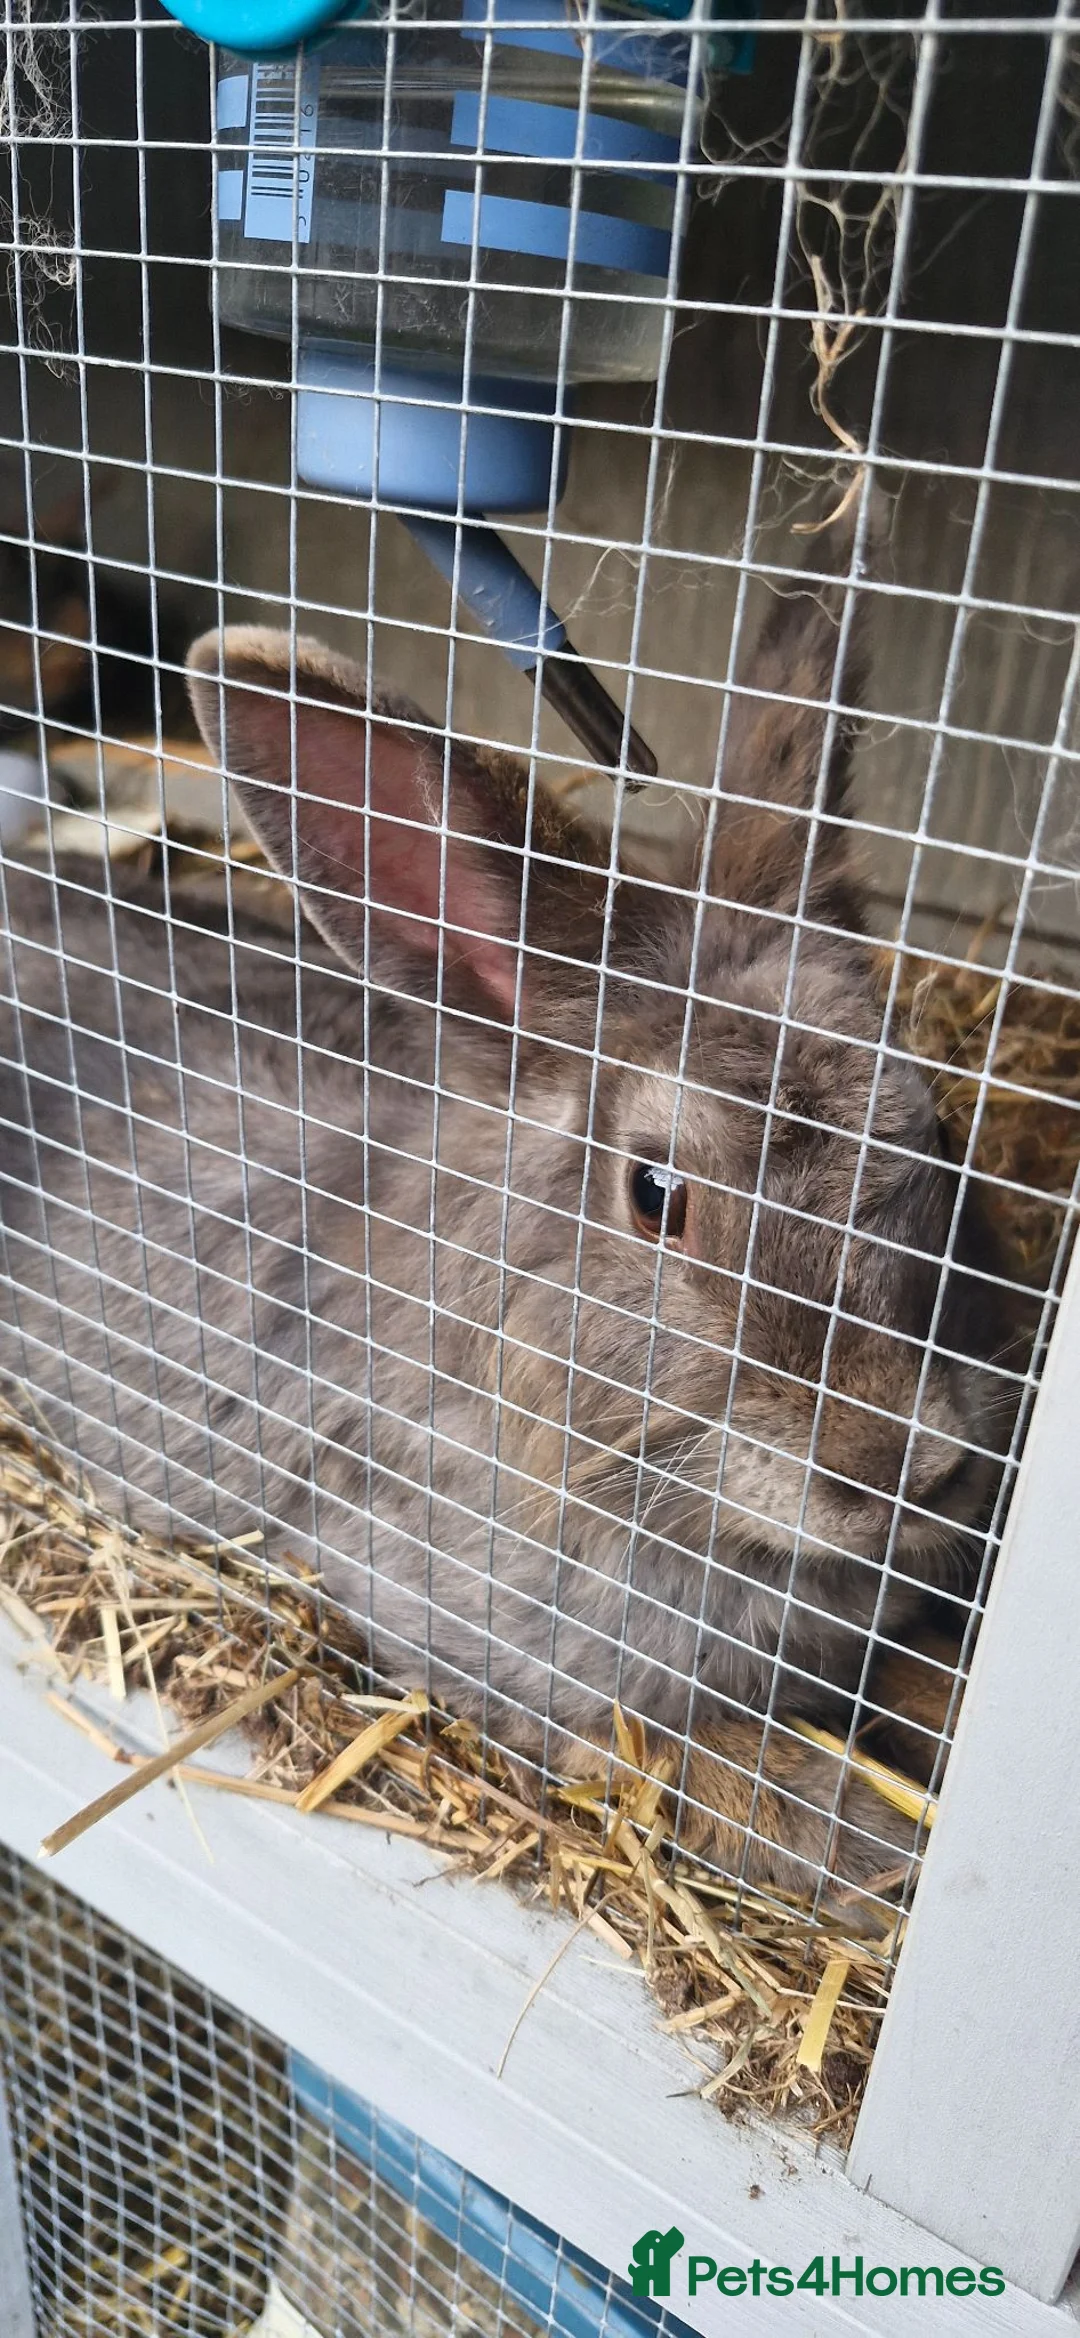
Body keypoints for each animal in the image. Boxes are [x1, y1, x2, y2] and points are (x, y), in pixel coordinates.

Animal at [0, 538, 1017, 1905]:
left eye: (936, 1124)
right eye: (657, 1195)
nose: (911, 1465)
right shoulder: (480, 1632)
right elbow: (709, 1764)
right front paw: (877, 1837)